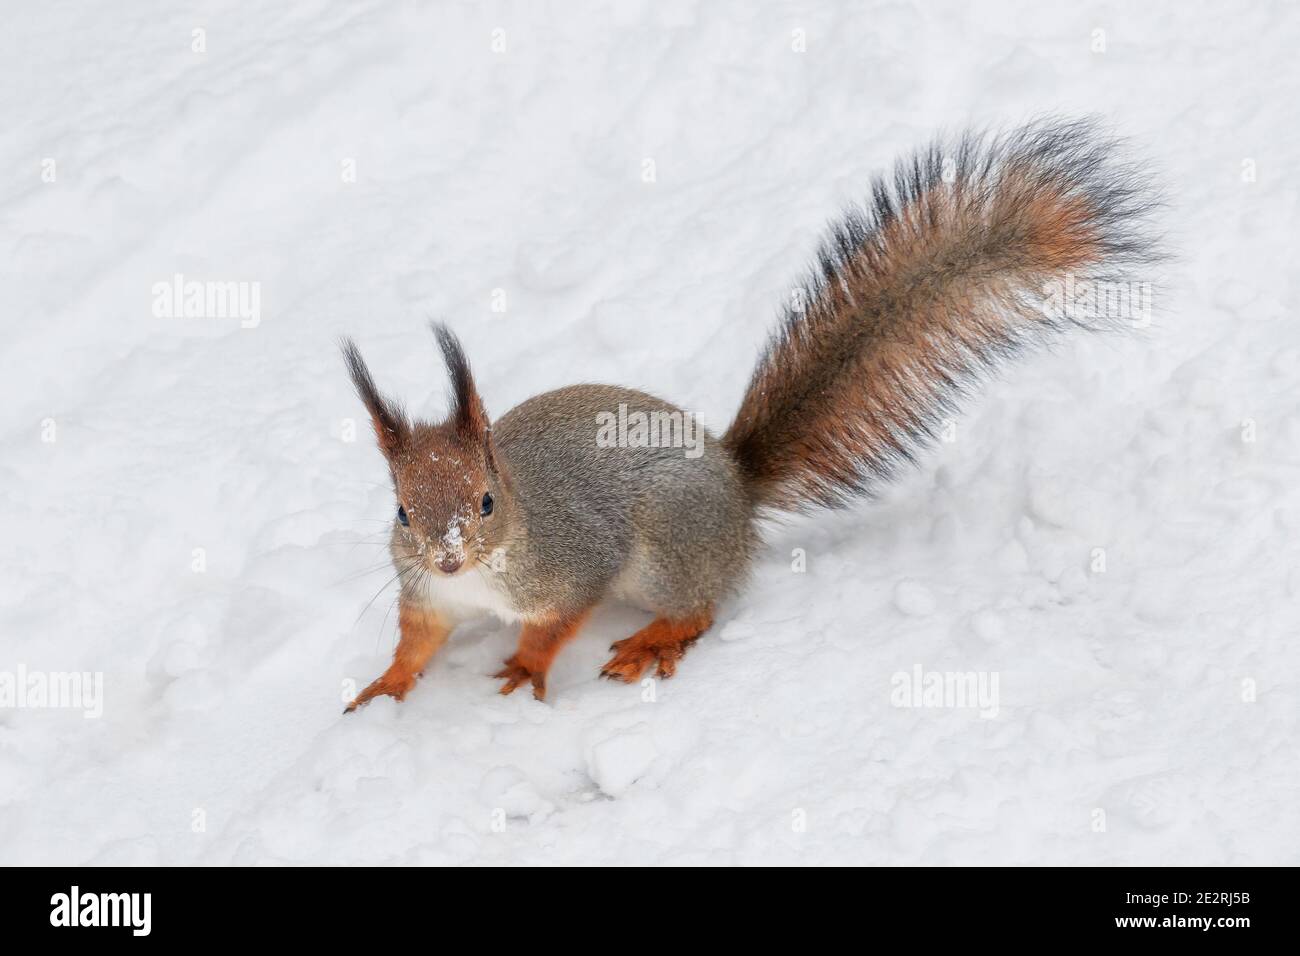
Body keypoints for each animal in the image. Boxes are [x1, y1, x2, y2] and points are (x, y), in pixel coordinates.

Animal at [340, 117, 1160, 711]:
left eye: (485, 500)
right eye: (403, 510)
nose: (448, 556)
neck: (493, 559)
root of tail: (736, 484)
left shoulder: (576, 563)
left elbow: (556, 626)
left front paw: (524, 668)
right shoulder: (425, 595)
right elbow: (415, 642)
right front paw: (385, 685)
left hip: (669, 542)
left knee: (702, 605)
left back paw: (655, 641)